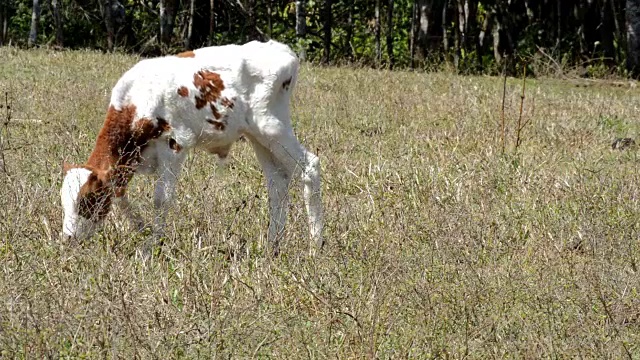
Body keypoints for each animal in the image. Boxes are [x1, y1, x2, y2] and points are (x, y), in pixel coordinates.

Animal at [58, 40, 324, 253]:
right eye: (64, 201)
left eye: (88, 200)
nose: (68, 239)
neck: (135, 102)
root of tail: (280, 49)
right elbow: (121, 195)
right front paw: (142, 229)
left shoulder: (173, 144)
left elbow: (161, 198)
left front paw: (153, 245)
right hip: (258, 138)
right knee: (277, 182)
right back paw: (272, 245)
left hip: (272, 127)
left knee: (310, 166)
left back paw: (316, 244)